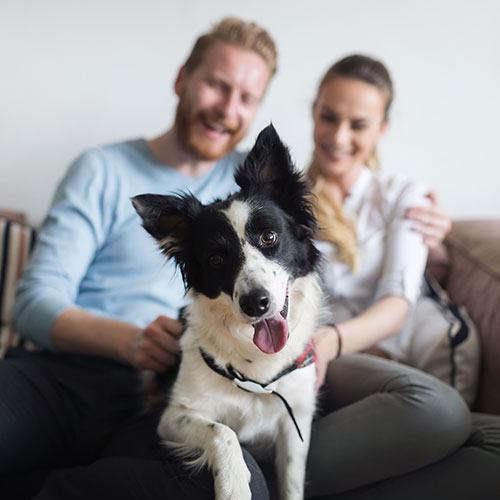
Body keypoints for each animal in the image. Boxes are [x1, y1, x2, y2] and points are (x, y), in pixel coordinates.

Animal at [132, 125, 320, 500]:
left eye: (269, 237)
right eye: (216, 259)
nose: (255, 303)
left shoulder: (295, 423)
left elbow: (292, 482)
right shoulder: (173, 416)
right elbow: (223, 432)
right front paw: (234, 486)